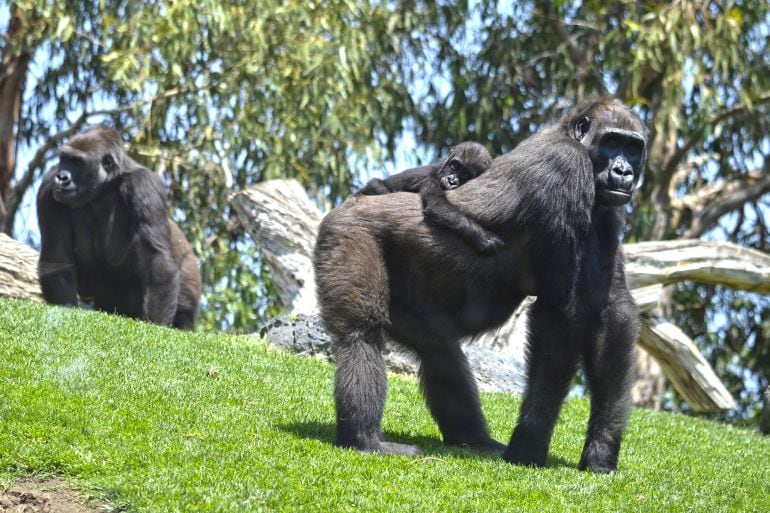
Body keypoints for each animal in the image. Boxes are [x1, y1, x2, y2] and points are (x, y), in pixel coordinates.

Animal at [37, 126, 200, 330]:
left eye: (77, 162)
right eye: (64, 159)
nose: (62, 178)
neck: (105, 186)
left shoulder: (143, 183)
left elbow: (156, 255)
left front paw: (155, 325)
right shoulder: (48, 186)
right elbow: (57, 258)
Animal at [356, 141, 500, 253]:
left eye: (466, 176)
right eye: (454, 166)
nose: (452, 181)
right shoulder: (430, 179)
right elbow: (437, 206)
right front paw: (484, 237)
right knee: (378, 186)